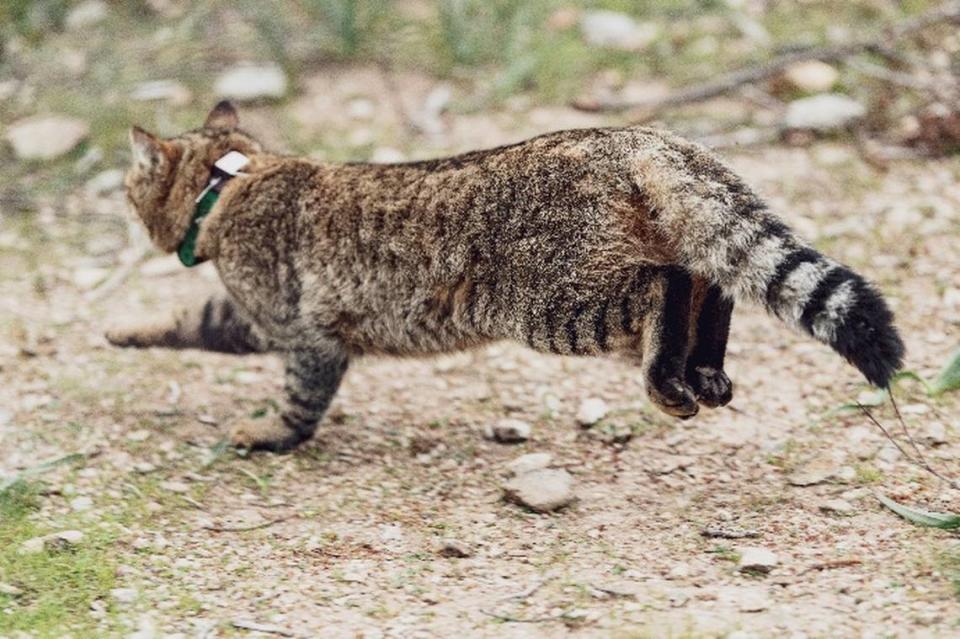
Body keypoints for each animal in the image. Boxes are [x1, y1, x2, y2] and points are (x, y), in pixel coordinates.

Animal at [109, 102, 904, 452]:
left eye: (128, 185)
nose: (122, 193)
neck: (233, 181)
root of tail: (640, 136)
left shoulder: (301, 332)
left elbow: (299, 401)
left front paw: (269, 433)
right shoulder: (255, 319)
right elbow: (192, 320)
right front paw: (124, 330)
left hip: (552, 303)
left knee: (668, 286)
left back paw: (669, 382)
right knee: (711, 283)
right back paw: (703, 372)